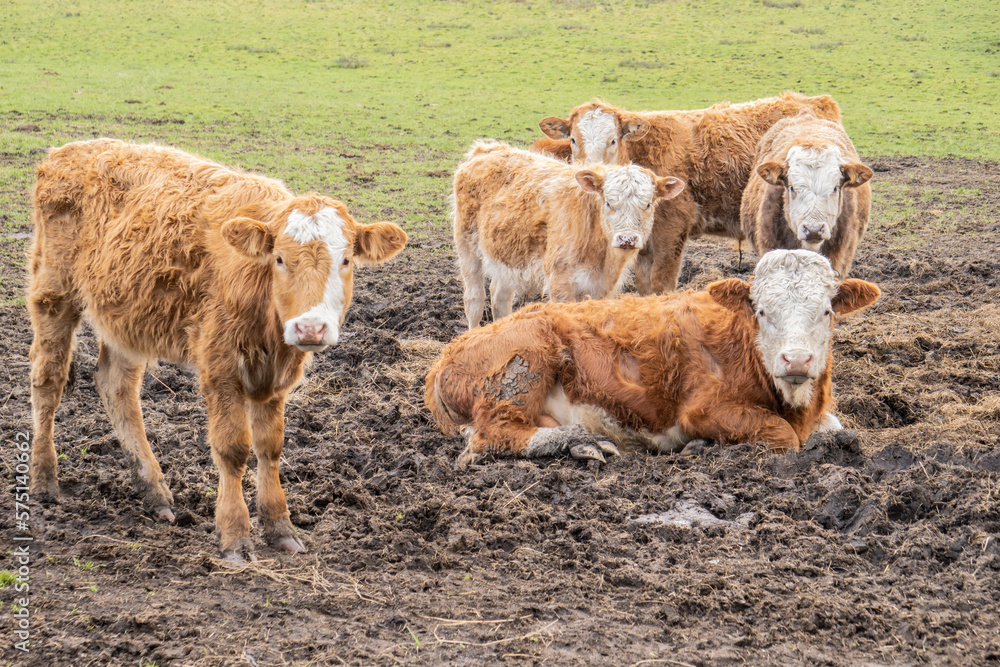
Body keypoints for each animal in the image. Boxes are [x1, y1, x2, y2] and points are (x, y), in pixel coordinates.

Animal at [28, 139, 407, 561]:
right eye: (279, 258)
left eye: (346, 260)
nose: (310, 327)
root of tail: (70, 150)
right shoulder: (220, 367)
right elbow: (233, 449)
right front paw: (235, 536)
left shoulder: (275, 378)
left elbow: (270, 447)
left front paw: (280, 526)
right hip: (54, 291)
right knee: (48, 381)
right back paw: (43, 480)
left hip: (125, 317)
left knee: (116, 387)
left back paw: (155, 493)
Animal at [425, 249, 879, 463]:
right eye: (762, 311)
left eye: (827, 311)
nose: (797, 360)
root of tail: (448, 354)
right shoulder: (701, 410)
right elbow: (784, 438)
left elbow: (839, 430)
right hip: (523, 364)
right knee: (492, 436)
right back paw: (580, 439)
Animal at [454, 140, 685, 329]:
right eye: (609, 203)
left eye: (648, 205)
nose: (627, 239)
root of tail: (487, 149)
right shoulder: (560, 284)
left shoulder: (601, 289)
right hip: (467, 247)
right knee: (474, 300)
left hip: (507, 257)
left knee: (500, 297)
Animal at [537, 92, 843, 293]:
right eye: (573, 140)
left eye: (613, 140)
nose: (591, 168)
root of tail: (816, 101)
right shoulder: (644, 244)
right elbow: (644, 286)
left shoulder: (671, 232)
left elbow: (661, 285)